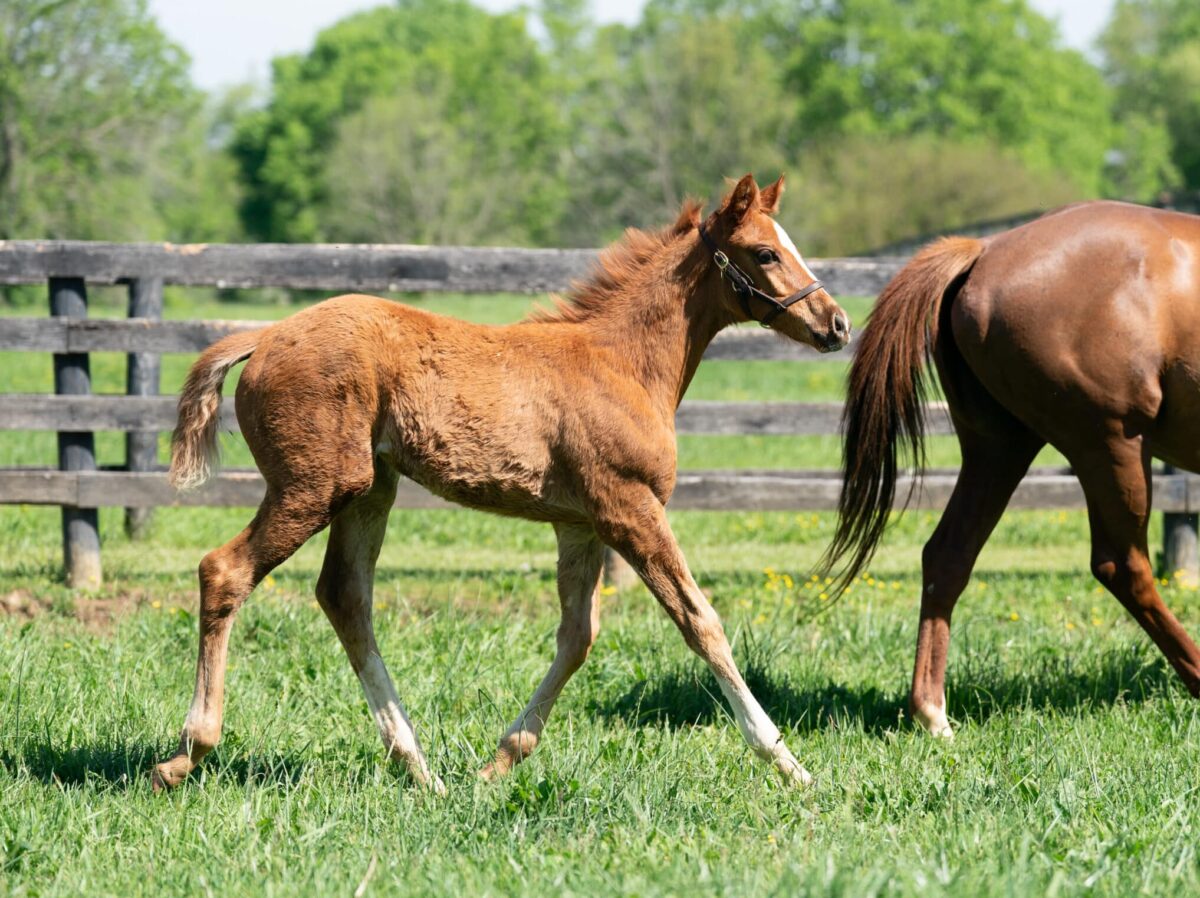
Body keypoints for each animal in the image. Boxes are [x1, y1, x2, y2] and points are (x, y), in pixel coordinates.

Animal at [154, 175, 854, 792]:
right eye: (765, 252)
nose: (837, 324)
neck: (622, 363)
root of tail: (266, 334)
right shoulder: (629, 507)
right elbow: (700, 621)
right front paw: (791, 765)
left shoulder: (580, 523)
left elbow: (578, 637)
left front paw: (499, 762)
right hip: (315, 486)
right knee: (226, 571)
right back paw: (188, 753)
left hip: (369, 488)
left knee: (345, 596)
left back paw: (422, 770)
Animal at [825, 201, 1200, 734]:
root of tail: (984, 251)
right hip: (1111, 445)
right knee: (1122, 566)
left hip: (998, 449)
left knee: (947, 555)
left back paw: (932, 713)